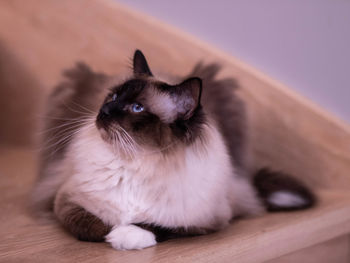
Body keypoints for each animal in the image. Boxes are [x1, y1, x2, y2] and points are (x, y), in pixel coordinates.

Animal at [32, 50, 316, 251]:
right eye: (112, 97)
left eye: (136, 108)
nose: (103, 111)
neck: (137, 160)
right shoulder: (65, 201)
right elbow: (90, 226)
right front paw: (112, 233)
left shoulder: (204, 221)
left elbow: (161, 226)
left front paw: (126, 236)